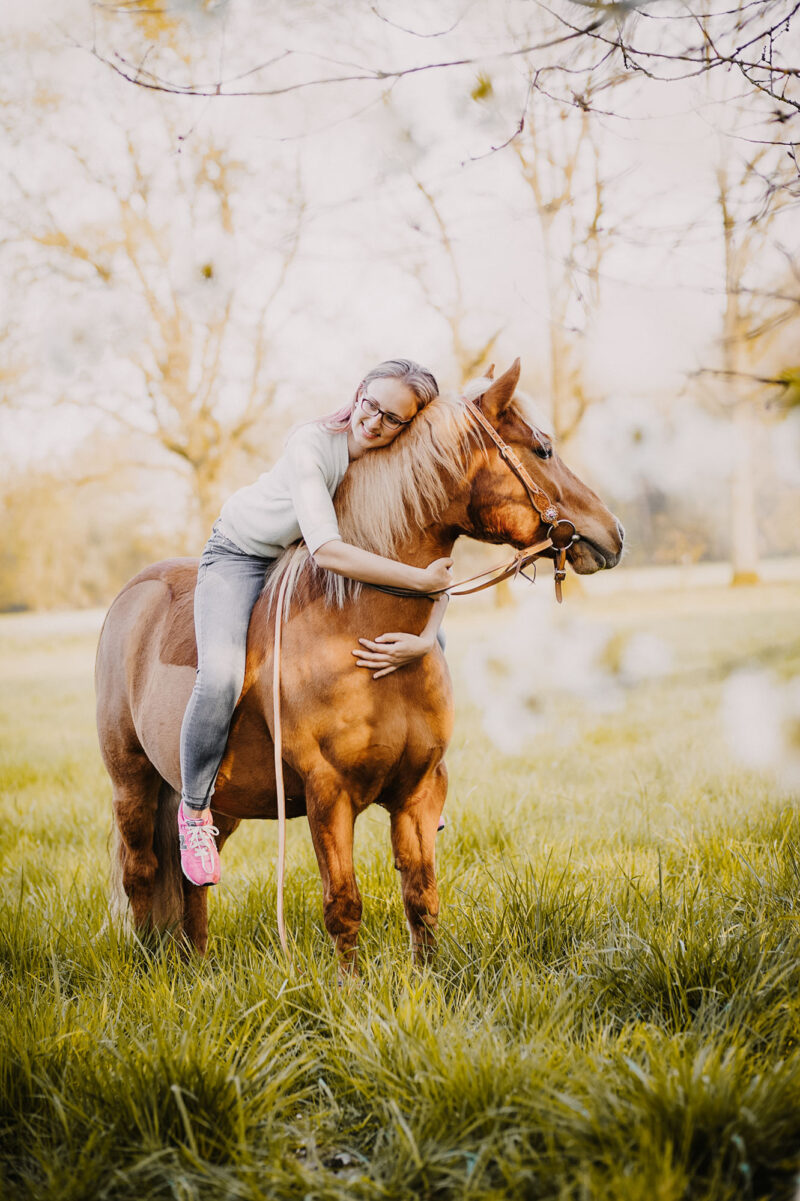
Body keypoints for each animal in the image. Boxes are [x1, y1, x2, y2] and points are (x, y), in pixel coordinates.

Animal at [96, 360, 624, 973]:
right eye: (543, 449)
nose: (613, 534)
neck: (355, 630)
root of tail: (132, 595)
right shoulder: (329, 795)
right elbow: (343, 905)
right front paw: (349, 987)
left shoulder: (420, 791)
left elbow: (421, 896)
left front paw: (428, 979)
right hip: (132, 782)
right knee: (143, 874)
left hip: (211, 798)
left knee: (191, 881)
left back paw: (197, 967)